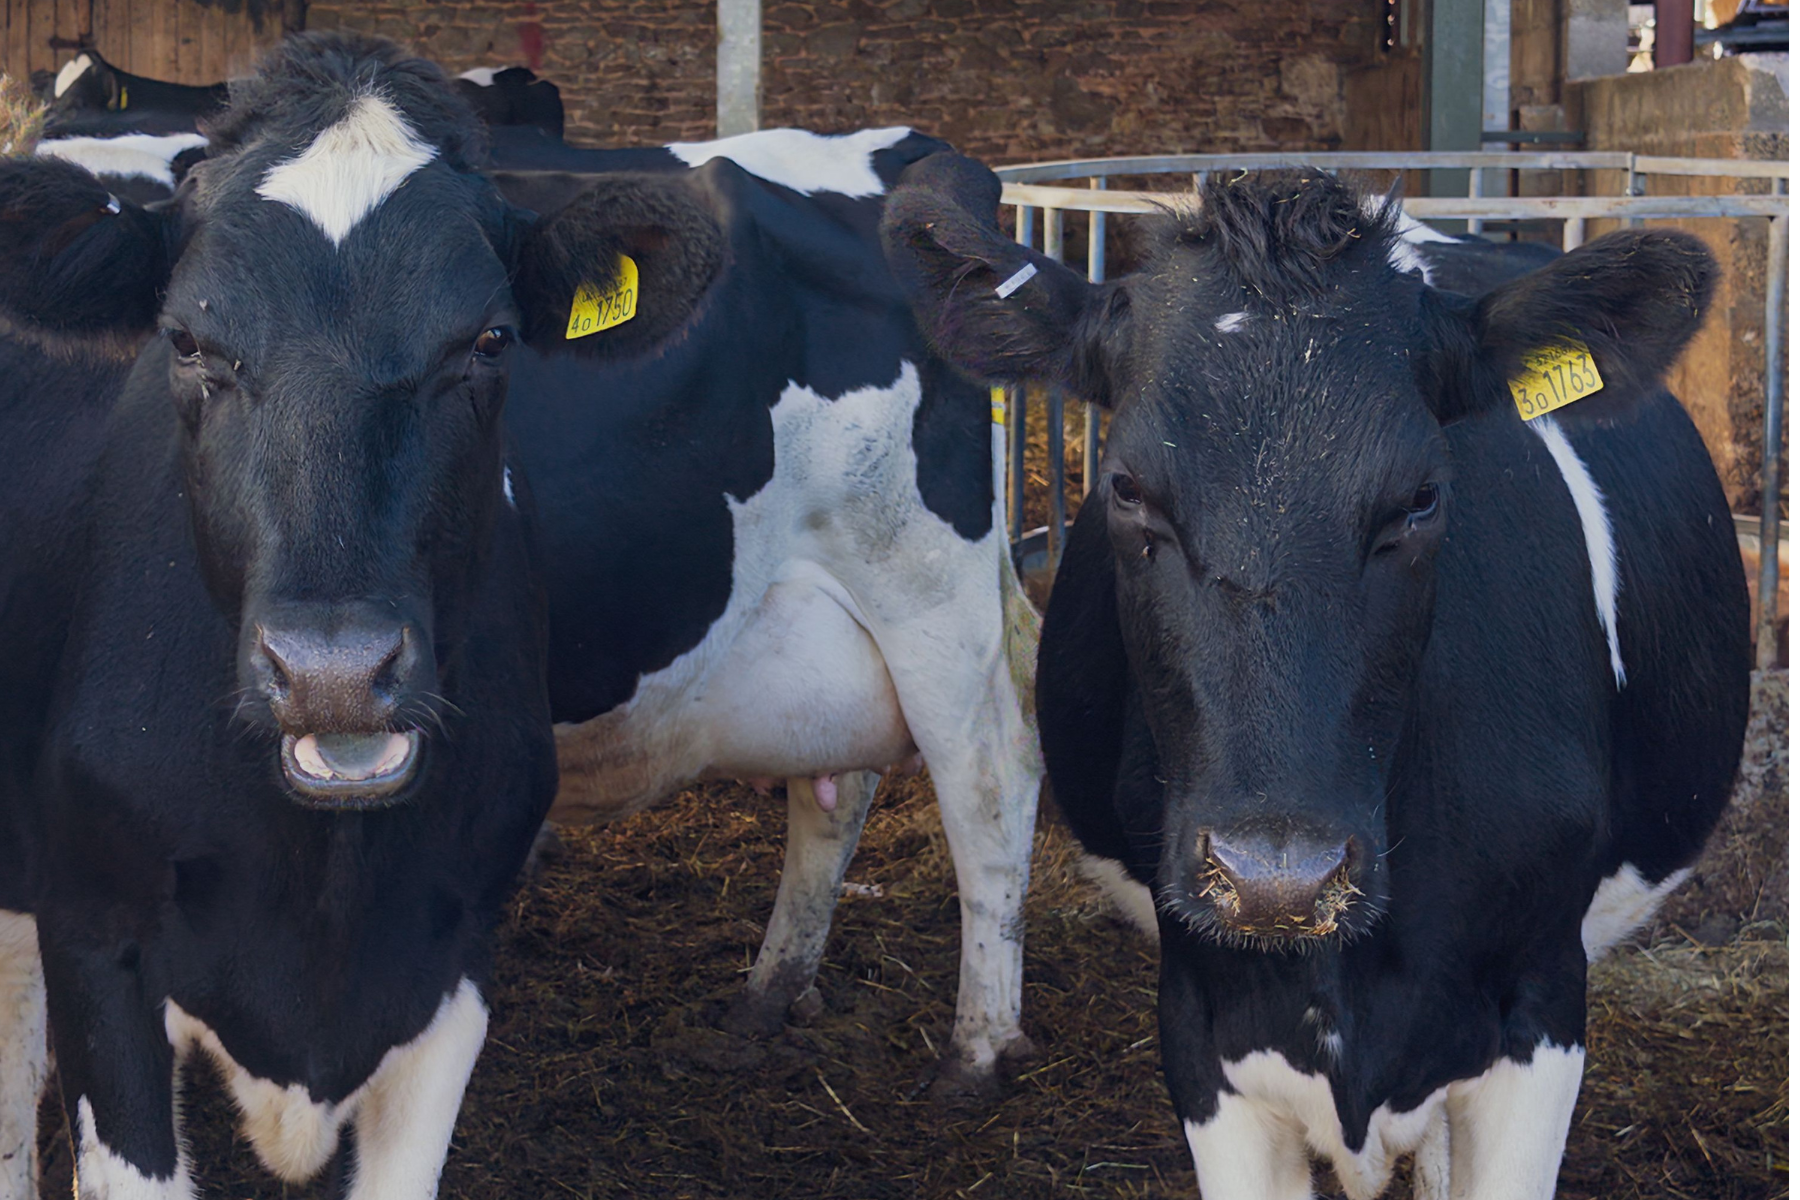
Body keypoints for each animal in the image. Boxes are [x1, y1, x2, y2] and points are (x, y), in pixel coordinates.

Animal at [491, 126, 1045, 1090]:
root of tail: (896, 150)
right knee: (838, 789)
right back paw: (769, 995)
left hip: (925, 585)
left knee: (989, 778)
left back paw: (976, 1050)